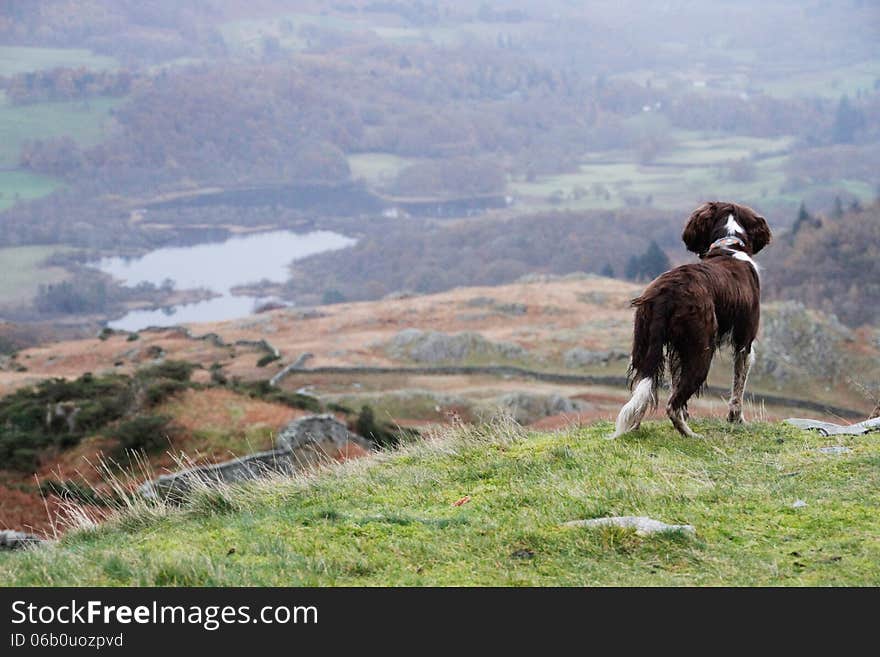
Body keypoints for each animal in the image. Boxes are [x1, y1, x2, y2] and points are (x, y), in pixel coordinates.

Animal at [612, 199, 768, 436]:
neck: (729, 246)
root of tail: (667, 293)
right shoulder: (744, 342)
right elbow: (738, 389)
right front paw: (737, 420)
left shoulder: (677, 351)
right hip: (701, 350)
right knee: (672, 405)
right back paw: (691, 435)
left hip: (644, 345)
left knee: (643, 393)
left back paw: (634, 429)